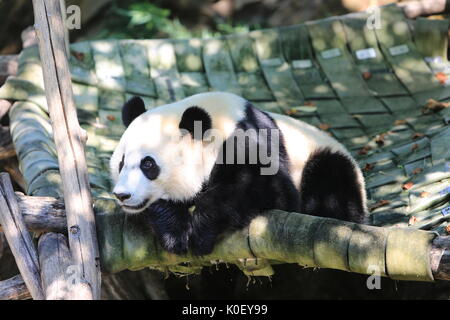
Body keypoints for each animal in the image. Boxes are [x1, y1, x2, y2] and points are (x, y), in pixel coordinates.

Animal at [110, 92, 368, 255]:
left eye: (148, 164)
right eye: (121, 163)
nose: (122, 195)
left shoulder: (250, 138)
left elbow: (271, 190)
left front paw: (202, 231)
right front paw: (174, 231)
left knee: (330, 181)